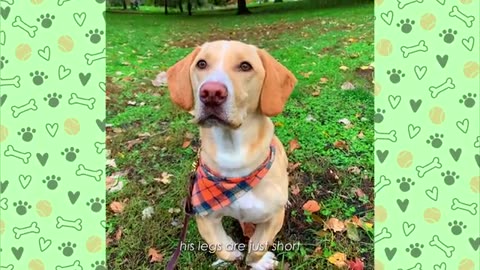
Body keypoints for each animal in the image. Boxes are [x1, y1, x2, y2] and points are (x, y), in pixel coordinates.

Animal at [167, 39, 298, 268]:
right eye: (202, 64)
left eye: (245, 66)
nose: (211, 92)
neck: (234, 162)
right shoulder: (204, 216)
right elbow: (220, 246)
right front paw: (231, 254)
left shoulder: (273, 218)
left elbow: (257, 247)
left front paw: (259, 262)